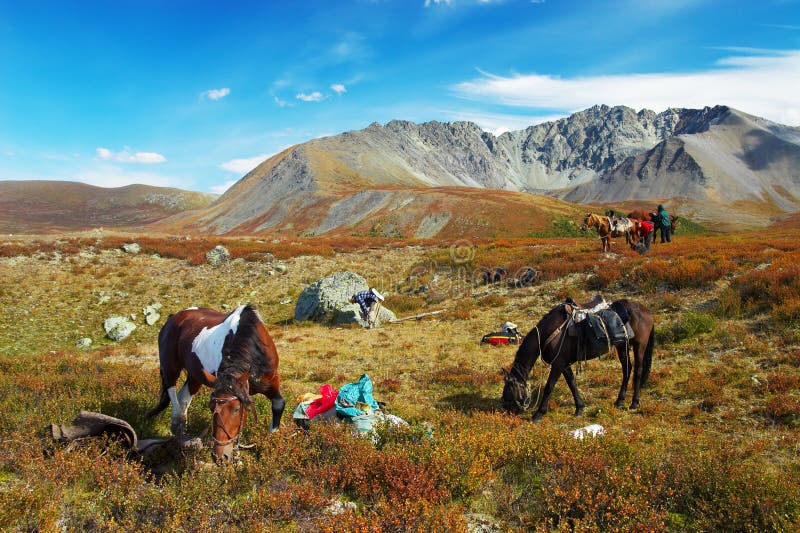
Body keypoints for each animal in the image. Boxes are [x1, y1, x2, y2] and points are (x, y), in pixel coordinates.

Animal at [145, 306, 286, 460]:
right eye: (211, 408)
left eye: (237, 409)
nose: (219, 456)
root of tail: (173, 318)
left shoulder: (271, 382)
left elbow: (279, 404)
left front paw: (271, 442)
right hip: (170, 368)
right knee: (172, 392)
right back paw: (178, 426)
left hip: (196, 376)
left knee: (183, 398)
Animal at [504, 298, 652, 418]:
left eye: (509, 392)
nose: (507, 412)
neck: (550, 332)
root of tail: (646, 311)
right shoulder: (564, 364)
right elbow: (572, 383)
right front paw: (579, 408)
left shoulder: (558, 364)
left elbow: (549, 387)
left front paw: (539, 414)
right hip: (622, 346)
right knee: (627, 369)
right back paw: (619, 401)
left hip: (639, 346)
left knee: (638, 371)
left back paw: (634, 403)